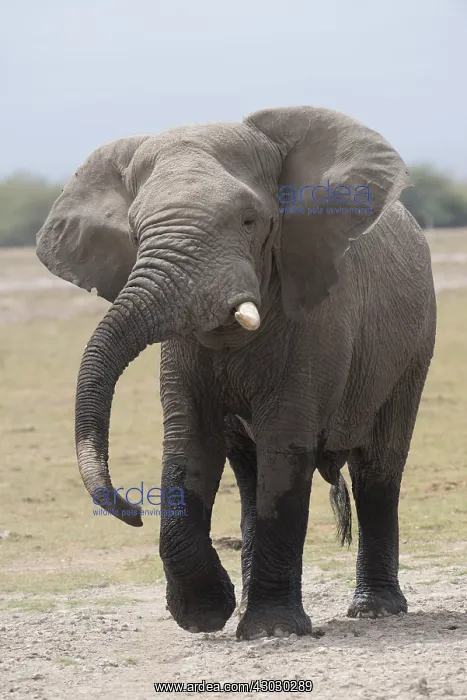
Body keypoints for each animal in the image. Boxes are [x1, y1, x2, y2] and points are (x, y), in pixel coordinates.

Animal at [36, 106, 436, 640]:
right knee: (249, 477)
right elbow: (189, 443)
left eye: (250, 221)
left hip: (413, 349)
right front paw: (207, 613)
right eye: (136, 234)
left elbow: (285, 446)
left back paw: (374, 610)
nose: (133, 510)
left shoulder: (316, 322)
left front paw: (272, 630)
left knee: (378, 468)